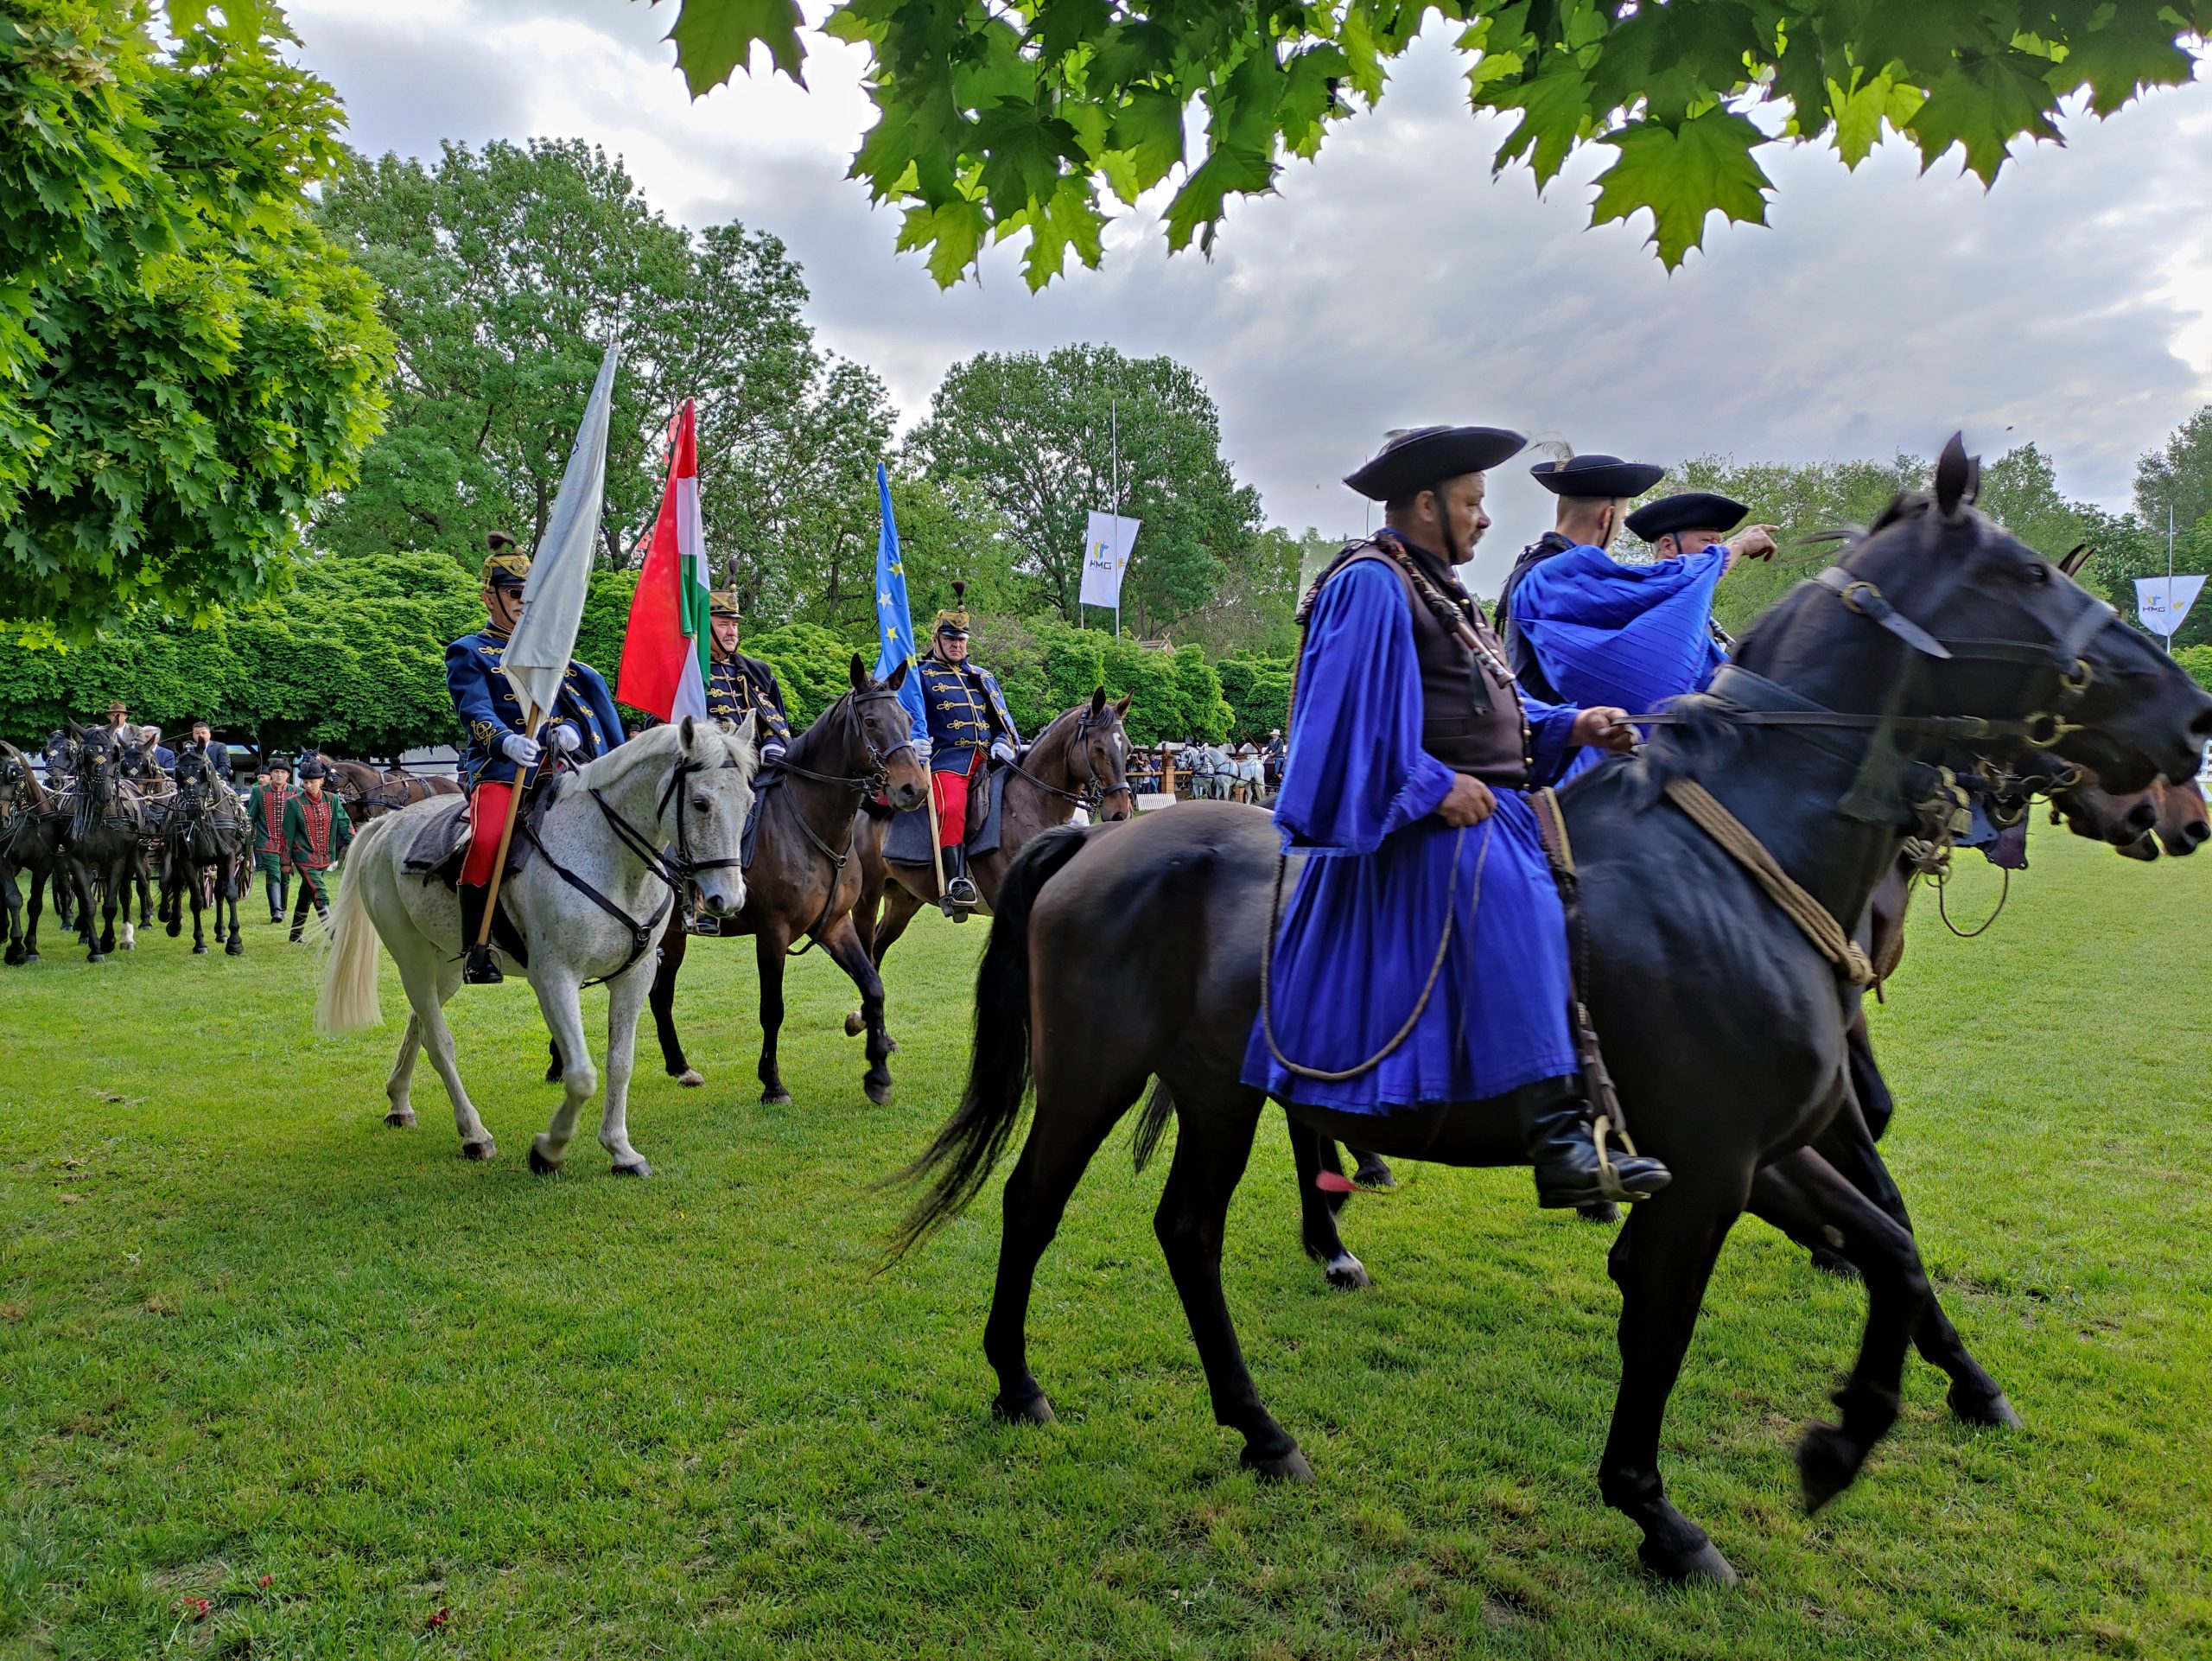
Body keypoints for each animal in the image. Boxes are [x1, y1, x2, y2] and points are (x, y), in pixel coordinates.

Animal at [316, 721, 756, 1176]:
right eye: (701, 803)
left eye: (749, 803)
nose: (728, 899)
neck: (612, 859)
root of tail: (386, 824)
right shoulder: (554, 979)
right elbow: (581, 1074)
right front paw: (549, 1150)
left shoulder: (635, 977)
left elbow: (620, 1063)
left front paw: (620, 1149)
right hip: (412, 959)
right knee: (439, 1041)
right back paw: (474, 1133)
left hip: (447, 966)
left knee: (419, 1023)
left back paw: (399, 1103)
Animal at [889, 449, 2212, 1592]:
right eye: (2029, 577)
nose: (2189, 734)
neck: (1740, 854)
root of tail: (1098, 839)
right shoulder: (1712, 1168)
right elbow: (1666, 1324)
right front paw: (1660, 1512)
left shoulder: (1766, 1146)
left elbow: (1891, 1242)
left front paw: (1858, 1431)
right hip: (1093, 1077)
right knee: (1031, 1202)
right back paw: (1020, 1379)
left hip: (1218, 1092)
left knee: (1187, 1231)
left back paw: (1262, 1423)